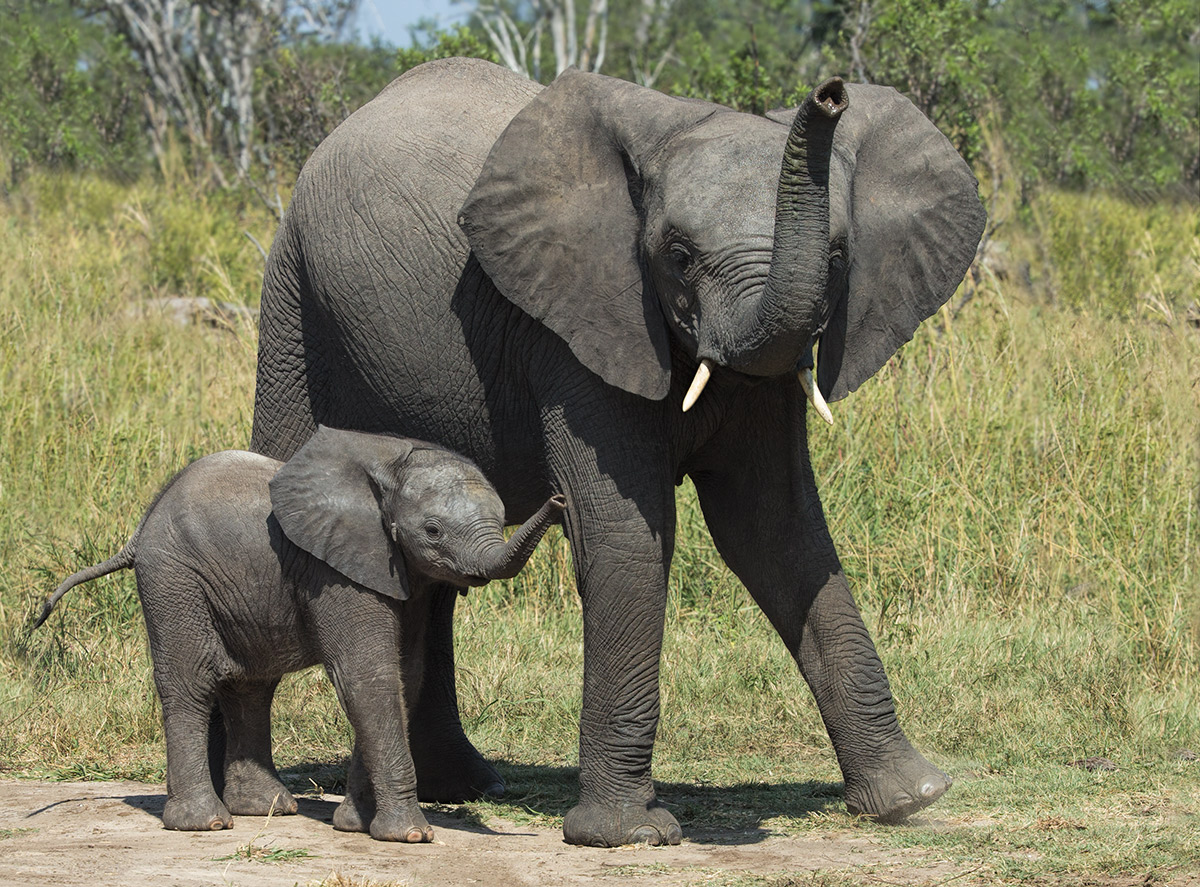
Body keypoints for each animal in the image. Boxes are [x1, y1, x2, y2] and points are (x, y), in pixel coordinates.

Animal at [34, 425, 565, 841]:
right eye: (433, 531)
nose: (560, 498)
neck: (391, 468)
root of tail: (139, 528)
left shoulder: (404, 575)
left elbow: (404, 677)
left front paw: (355, 826)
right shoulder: (334, 569)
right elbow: (367, 676)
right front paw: (410, 835)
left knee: (249, 686)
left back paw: (268, 808)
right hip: (173, 579)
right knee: (191, 682)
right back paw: (206, 823)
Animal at [249, 58, 986, 846]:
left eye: (841, 257)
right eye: (679, 257)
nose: (830, 94)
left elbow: (774, 530)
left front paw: (911, 797)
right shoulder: (578, 327)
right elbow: (627, 533)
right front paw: (629, 833)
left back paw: (461, 785)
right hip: (294, 297)